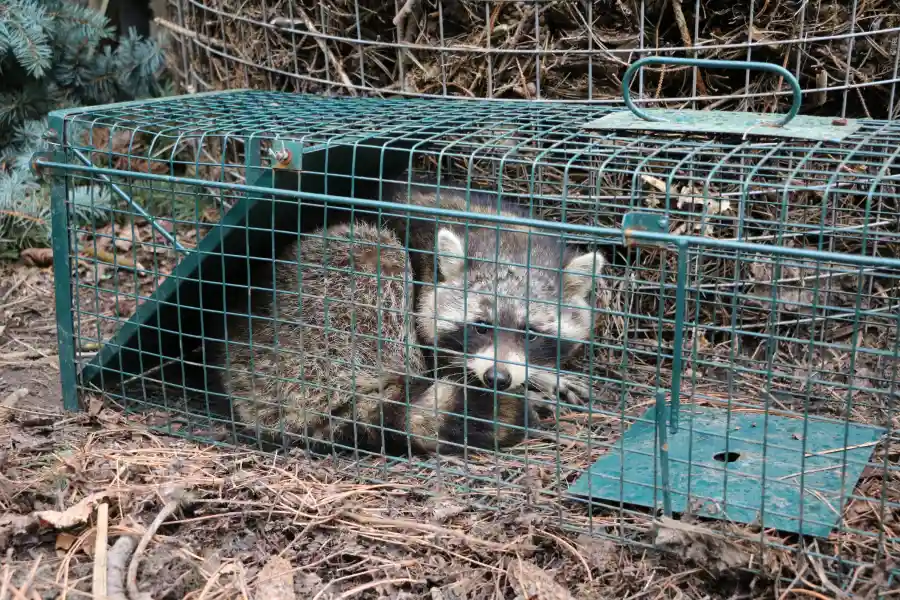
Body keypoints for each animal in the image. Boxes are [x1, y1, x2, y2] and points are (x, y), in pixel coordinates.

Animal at [379, 177, 606, 407]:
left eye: (530, 334)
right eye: (481, 327)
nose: (497, 378)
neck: (508, 236)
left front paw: (543, 377)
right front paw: (526, 394)